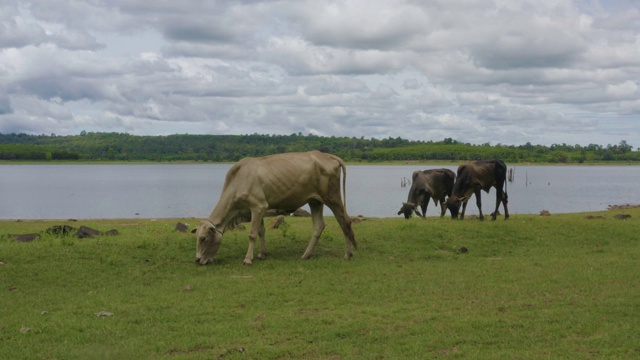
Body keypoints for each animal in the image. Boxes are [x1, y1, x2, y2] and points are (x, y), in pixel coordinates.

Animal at [192, 150, 358, 266]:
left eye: (203, 238)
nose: (197, 260)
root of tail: (325, 155)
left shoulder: (258, 206)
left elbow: (252, 234)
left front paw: (248, 259)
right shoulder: (258, 210)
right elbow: (261, 231)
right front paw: (261, 254)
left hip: (333, 197)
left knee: (344, 221)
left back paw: (348, 255)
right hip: (315, 201)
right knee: (319, 226)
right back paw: (306, 255)